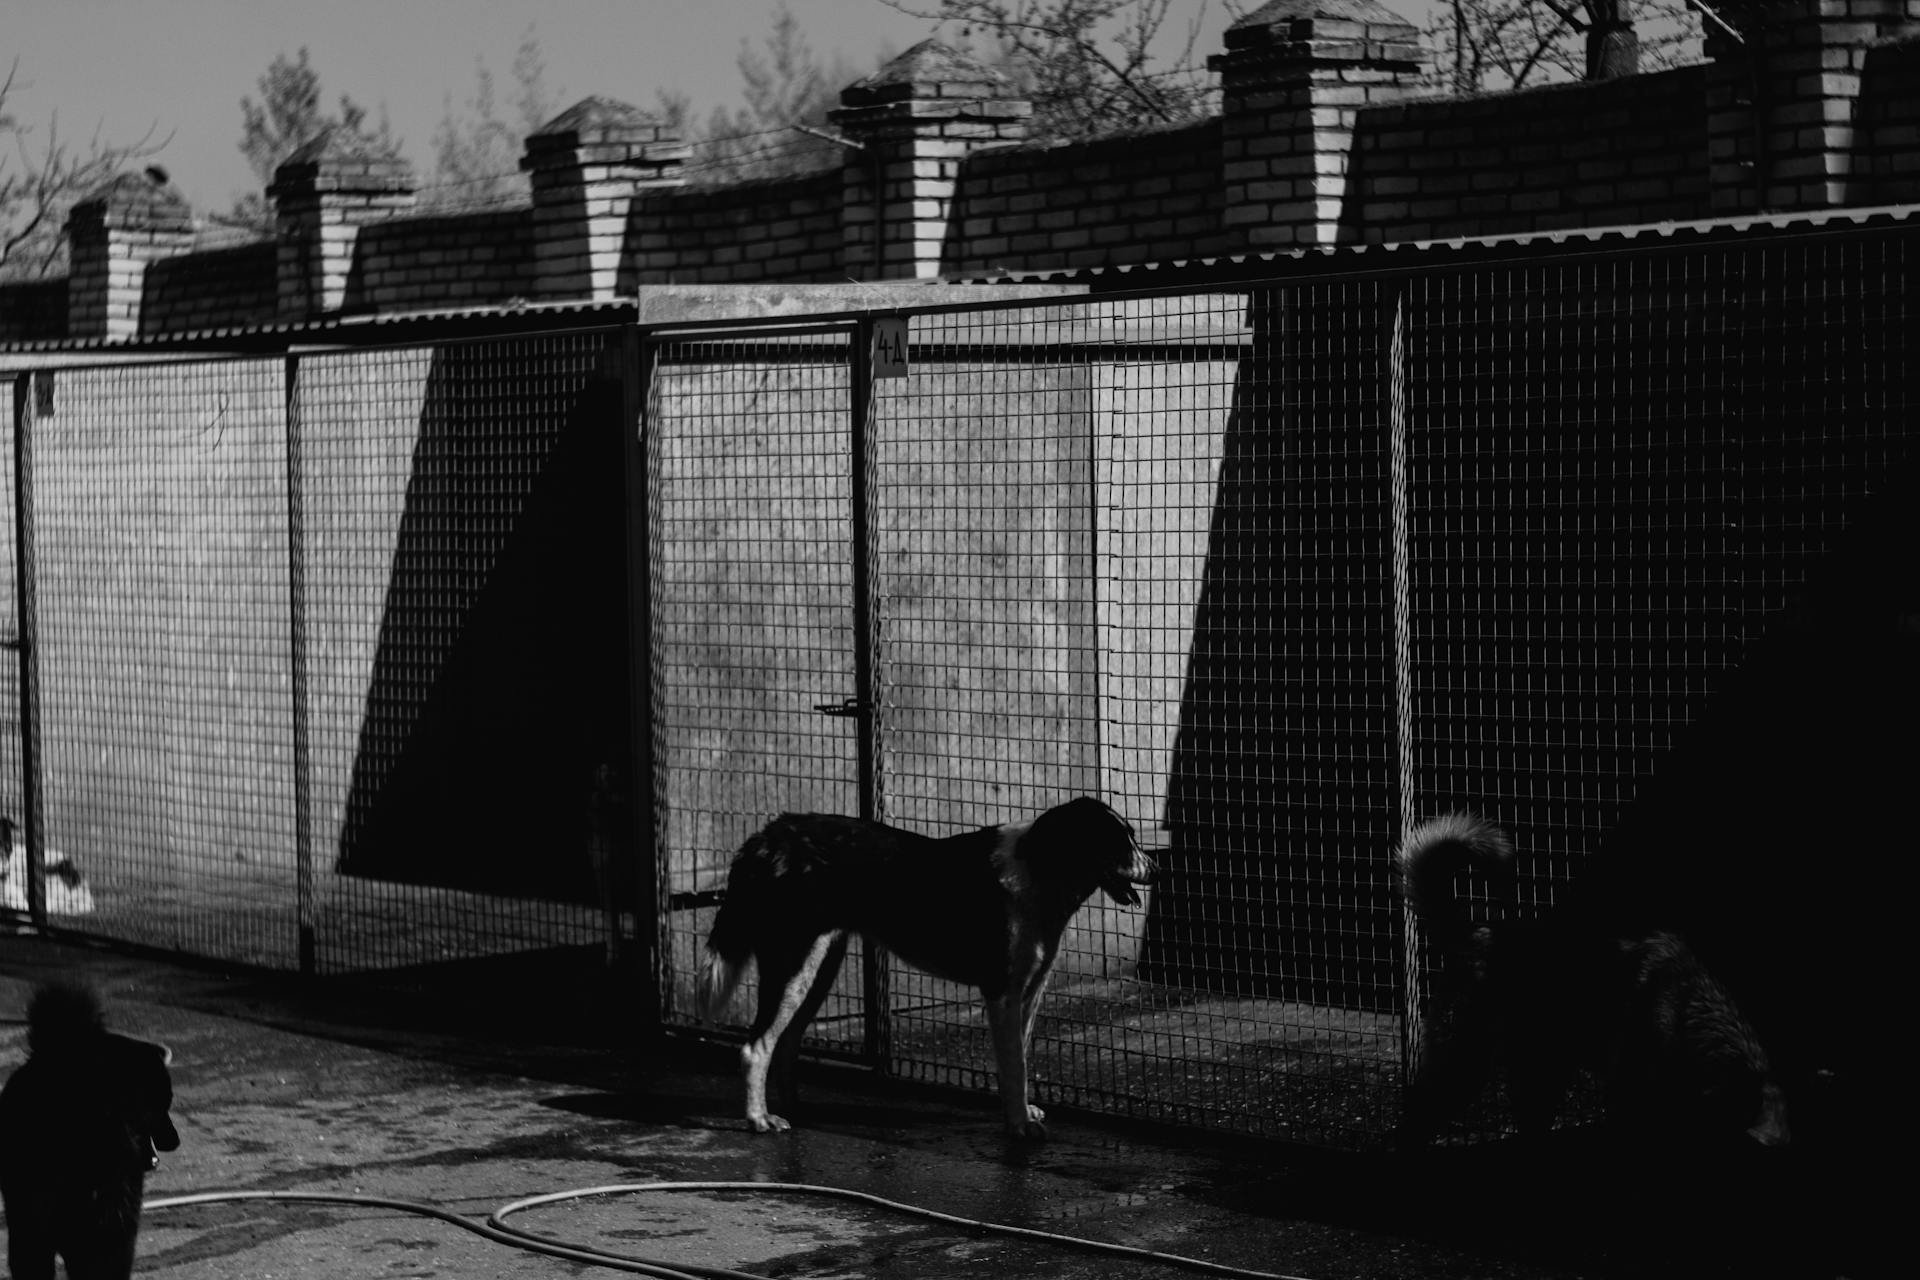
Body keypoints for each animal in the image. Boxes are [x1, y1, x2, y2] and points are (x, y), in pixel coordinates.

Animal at [702, 802, 1152, 1143]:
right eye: (1120, 841)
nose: (1155, 866)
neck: (1041, 867)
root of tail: (769, 835)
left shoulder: (1029, 992)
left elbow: (1020, 1058)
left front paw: (1022, 1112)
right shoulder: (1002, 993)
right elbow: (1014, 1065)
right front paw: (1018, 1126)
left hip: (816, 968)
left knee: (785, 1041)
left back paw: (792, 1108)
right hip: (792, 964)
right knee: (756, 1047)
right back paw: (759, 1120)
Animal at [1397, 817, 1781, 1159]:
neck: (1687, 1009)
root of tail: (1473, 932)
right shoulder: (1630, 1089)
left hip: (1542, 1069)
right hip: (1465, 1064)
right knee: (1418, 1111)